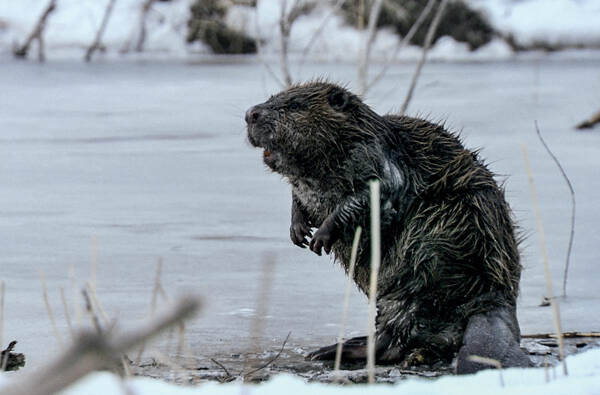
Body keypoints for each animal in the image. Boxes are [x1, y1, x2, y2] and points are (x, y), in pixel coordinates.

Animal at [244, 81, 528, 374]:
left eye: (295, 105)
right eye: (273, 97)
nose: (251, 114)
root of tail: (489, 306)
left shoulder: (376, 159)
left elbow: (372, 195)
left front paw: (321, 237)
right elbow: (298, 200)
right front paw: (298, 231)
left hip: (421, 271)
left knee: (393, 340)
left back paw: (334, 350)